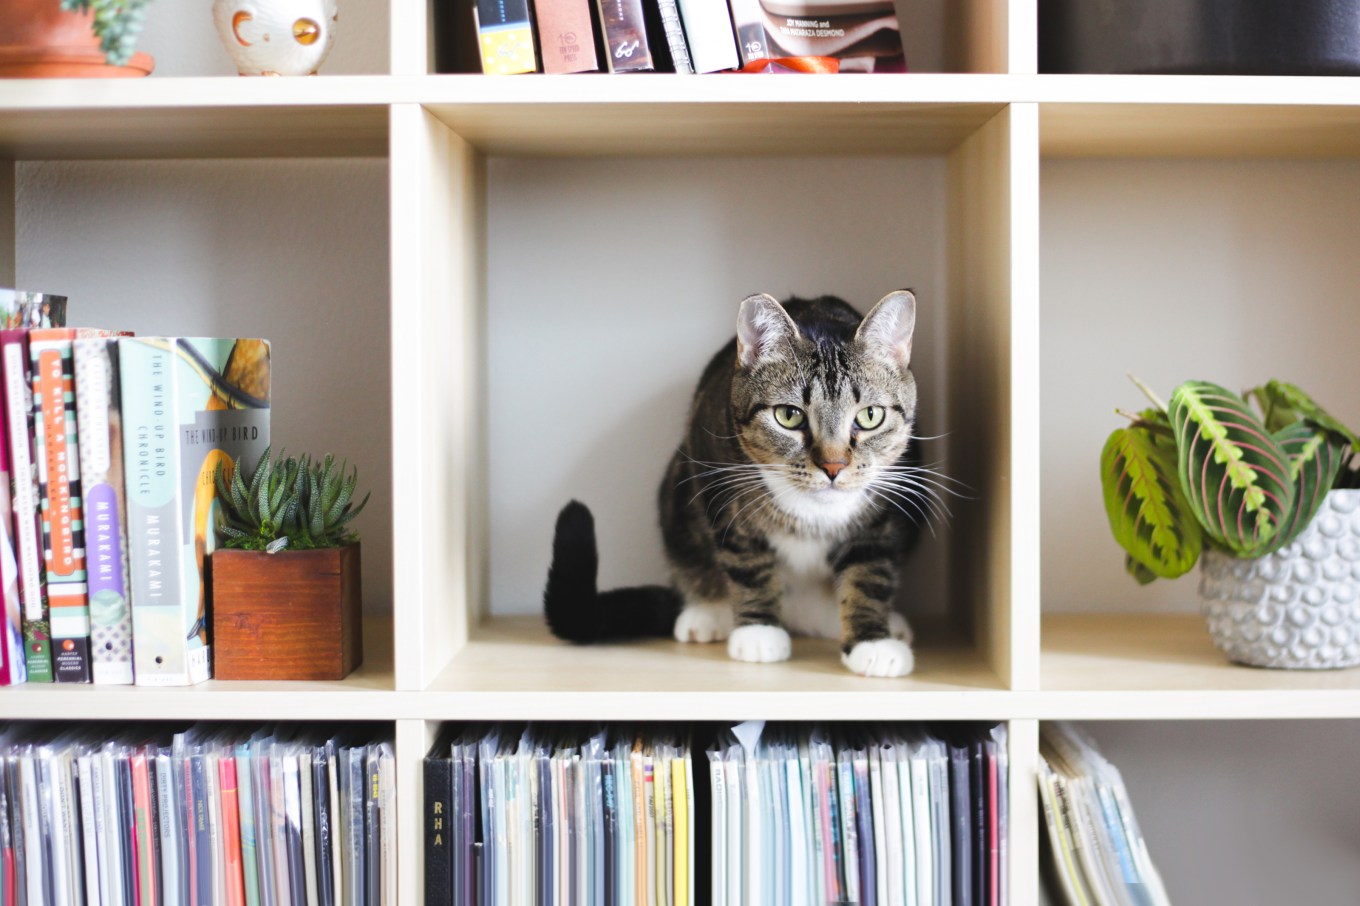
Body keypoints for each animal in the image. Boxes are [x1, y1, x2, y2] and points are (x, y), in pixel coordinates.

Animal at [541, 289, 924, 669]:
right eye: (789, 416)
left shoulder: (884, 514)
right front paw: (758, 632)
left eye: (870, 416)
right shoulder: (719, 484)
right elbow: (747, 561)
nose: (833, 466)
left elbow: (870, 574)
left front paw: (873, 643)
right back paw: (708, 613)